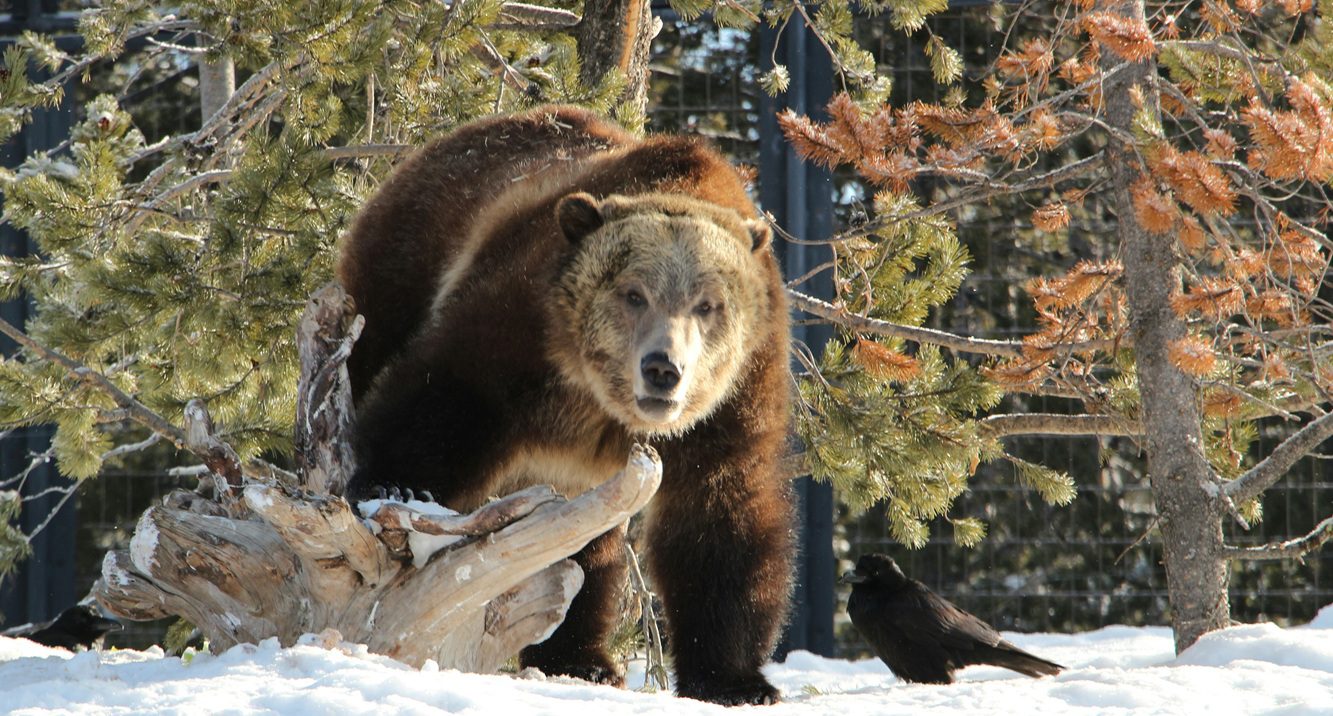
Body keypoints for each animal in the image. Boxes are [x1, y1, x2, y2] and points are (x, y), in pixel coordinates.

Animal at [337, 105, 794, 706]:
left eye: (707, 304)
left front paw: (736, 680)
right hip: (406, 259)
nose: (662, 368)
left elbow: (721, 520)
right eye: (633, 293)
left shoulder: (734, 398)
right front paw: (395, 486)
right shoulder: (525, 320)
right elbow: (447, 395)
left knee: (579, 550)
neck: (601, 401)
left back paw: (580, 658)